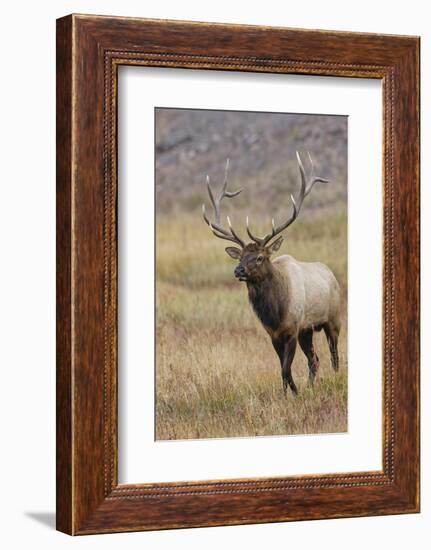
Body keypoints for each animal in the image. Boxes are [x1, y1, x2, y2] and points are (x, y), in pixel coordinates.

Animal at [202, 154, 340, 396]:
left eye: (259, 257)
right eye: (240, 257)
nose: (238, 270)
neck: (275, 313)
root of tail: (331, 274)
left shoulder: (292, 330)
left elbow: (285, 368)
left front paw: (294, 394)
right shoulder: (274, 335)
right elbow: (282, 369)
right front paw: (289, 394)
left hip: (334, 318)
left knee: (334, 355)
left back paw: (336, 377)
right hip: (308, 330)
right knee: (314, 359)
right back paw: (311, 386)